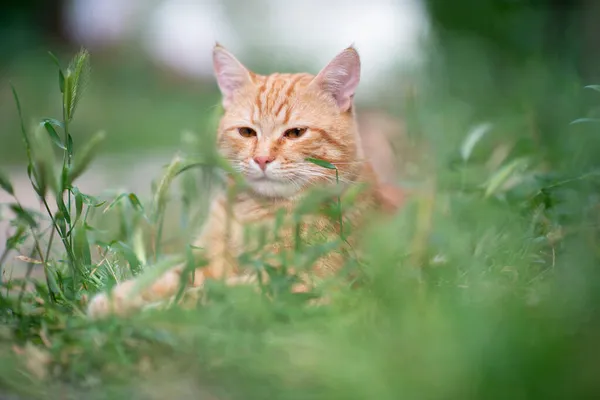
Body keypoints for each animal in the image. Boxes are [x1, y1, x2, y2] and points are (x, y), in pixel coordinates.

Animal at [86, 43, 404, 318]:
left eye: (295, 133)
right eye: (247, 132)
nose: (262, 159)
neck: (253, 213)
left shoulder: (303, 284)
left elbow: (210, 294)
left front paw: (159, 310)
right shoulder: (203, 262)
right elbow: (166, 279)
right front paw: (117, 300)